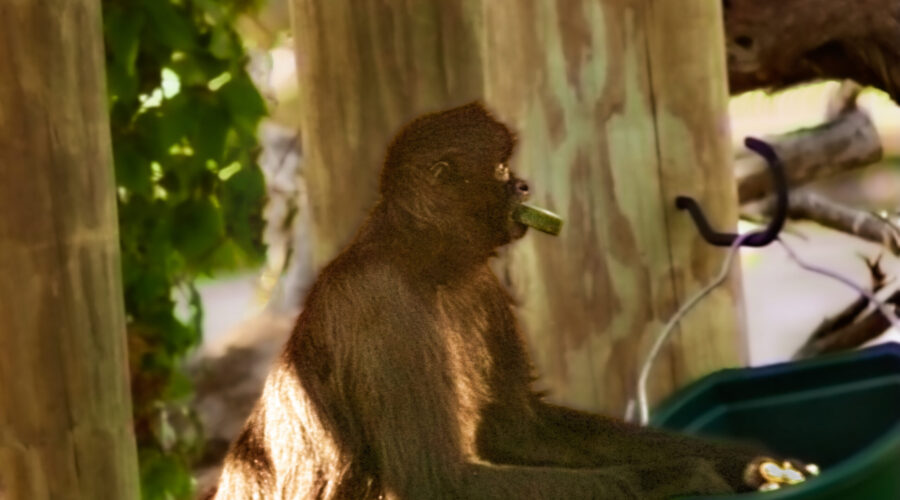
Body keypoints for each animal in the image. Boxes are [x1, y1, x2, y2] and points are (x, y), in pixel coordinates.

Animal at [211, 102, 788, 500]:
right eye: (502, 170)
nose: (524, 186)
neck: (421, 264)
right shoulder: (378, 301)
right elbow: (438, 482)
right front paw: (679, 478)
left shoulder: (480, 285)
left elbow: (522, 430)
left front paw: (748, 465)